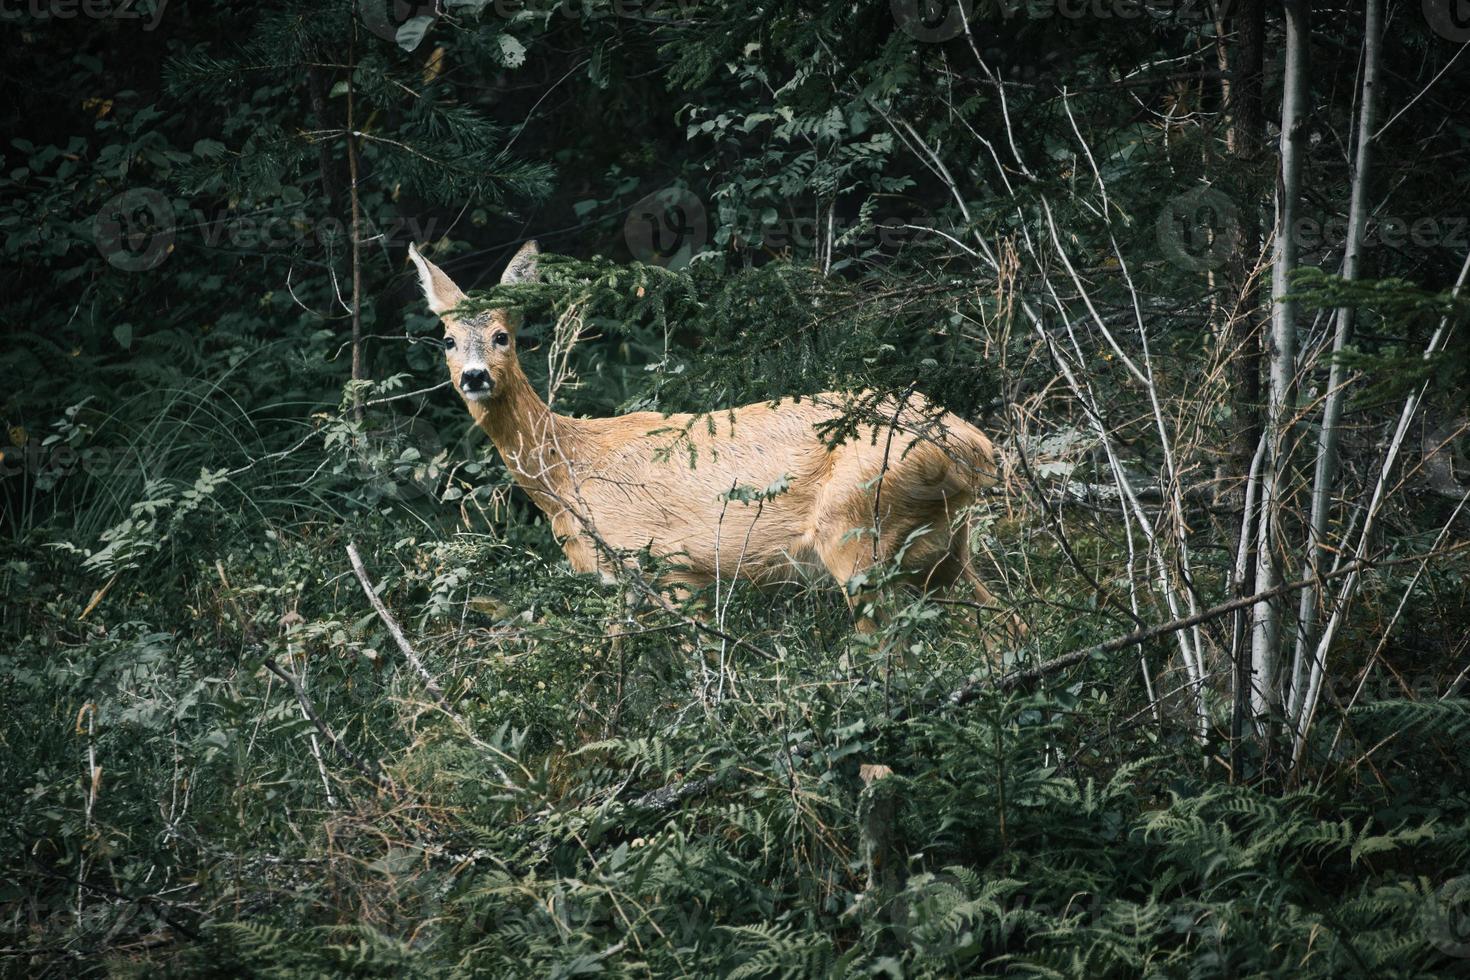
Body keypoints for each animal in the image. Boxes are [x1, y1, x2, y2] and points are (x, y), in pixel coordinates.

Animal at [408, 240, 1017, 631]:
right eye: (447, 341)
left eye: (502, 335)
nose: (475, 376)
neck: (569, 472)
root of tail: (975, 446)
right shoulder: (619, 585)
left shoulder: (671, 564)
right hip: (943, 545)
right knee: (1001, 620)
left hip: (858, 527)